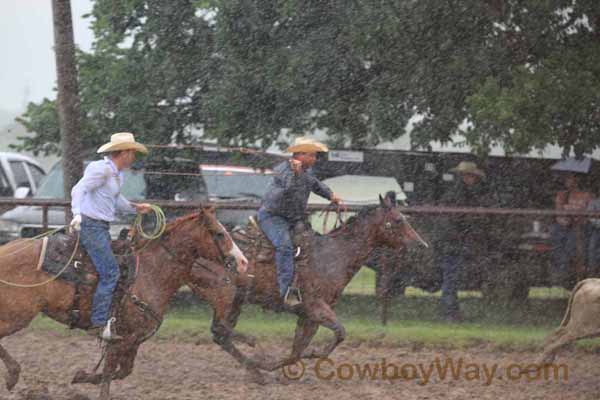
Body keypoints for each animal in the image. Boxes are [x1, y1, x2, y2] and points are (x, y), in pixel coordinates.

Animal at [0, 206, 246, 400]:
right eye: (219, 234)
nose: (243, 262)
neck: (150, 272)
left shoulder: (133, 339)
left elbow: (123, 371)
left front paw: (81, 376)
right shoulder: (121, 336)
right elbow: (111, 370)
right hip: (16, 315)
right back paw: (13, 374)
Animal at [190, 196, 424, 382]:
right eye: (398, 220)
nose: (421, 245)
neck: (333, 255)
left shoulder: (308, 315)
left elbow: (298, 349)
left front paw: (286, 362)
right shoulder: (315, 307)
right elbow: (340, 332)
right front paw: (276, 361)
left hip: (236, 300)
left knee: (220, 334)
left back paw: (255, 371)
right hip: (225, 296)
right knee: (220, 330)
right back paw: (254, 353)